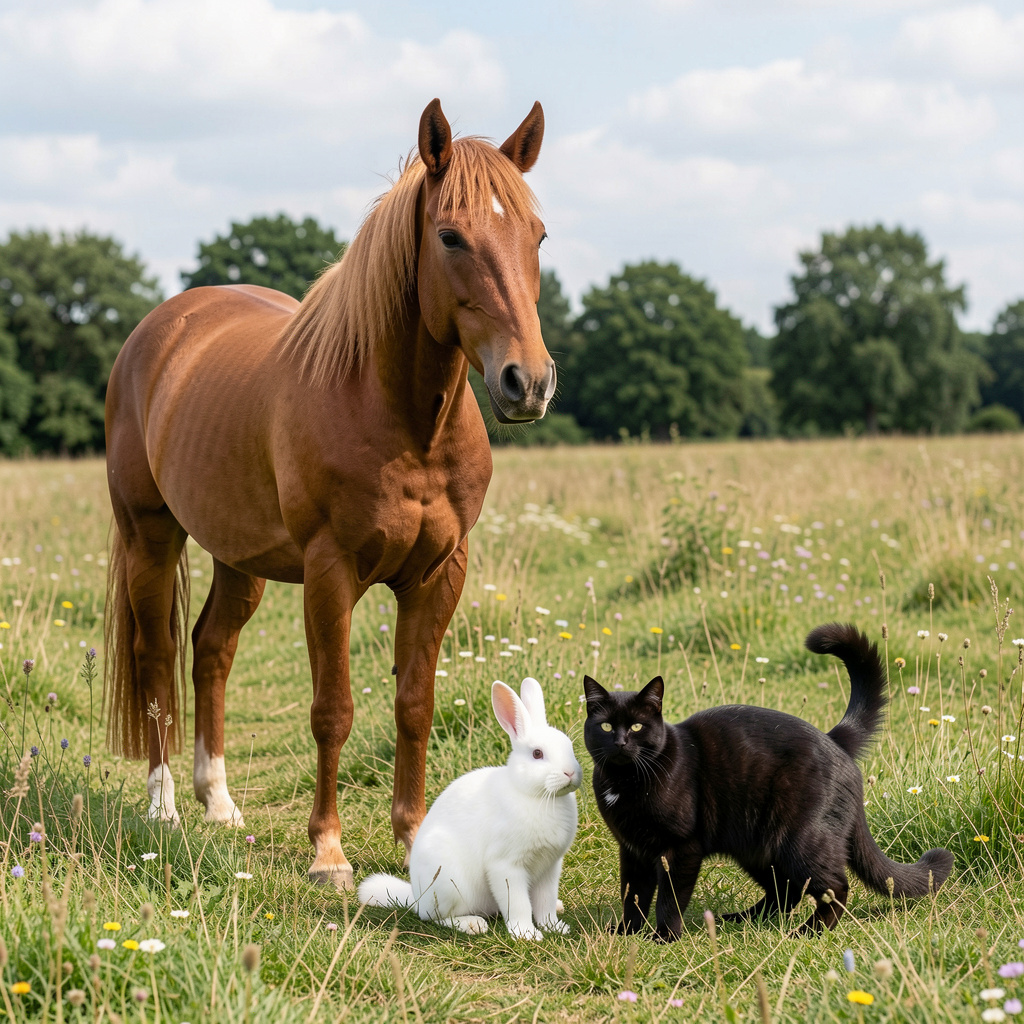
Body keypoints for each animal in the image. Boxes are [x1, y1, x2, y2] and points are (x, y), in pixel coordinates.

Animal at [103, 99, 554, 889]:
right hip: (149, 536)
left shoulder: (440, 574)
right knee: (156, 655)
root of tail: (160, 330)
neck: (402, 419)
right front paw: (329, 853)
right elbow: (333, 710)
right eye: (450, 235)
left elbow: (414, 704)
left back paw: (218, 802)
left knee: (210, 649)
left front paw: (415, 840)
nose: (526, 383)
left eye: (537, 233)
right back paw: (164, 807)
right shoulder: (329, 572)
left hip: (239, 558)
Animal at [358, 677, 582, 940]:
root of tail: (416, 897)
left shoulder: (549, 868)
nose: (570, 772)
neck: (534, 795)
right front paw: (526, 934)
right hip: (448, 884)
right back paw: (472, 925)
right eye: (537, 754)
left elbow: (544, 903)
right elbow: (518, 904)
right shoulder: (506, 865)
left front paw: (555, 927)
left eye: (569, 746)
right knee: (435, 917)